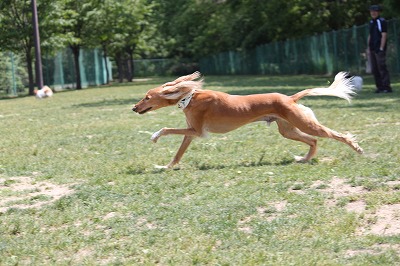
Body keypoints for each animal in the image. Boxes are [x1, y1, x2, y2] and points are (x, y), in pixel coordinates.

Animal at [133, 71, 364, 168]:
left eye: (147, 97)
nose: (134, 108)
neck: (189, 96)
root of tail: (290, 98)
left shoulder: (197, 131)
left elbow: (166, 129)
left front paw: (154, 136)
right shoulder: (191, 133)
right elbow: (178, 154)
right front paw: (166, 167)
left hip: (304, 123)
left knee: (335, 135)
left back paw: (357, 149)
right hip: (287, 129)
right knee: (313, 141)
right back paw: (304, 159)